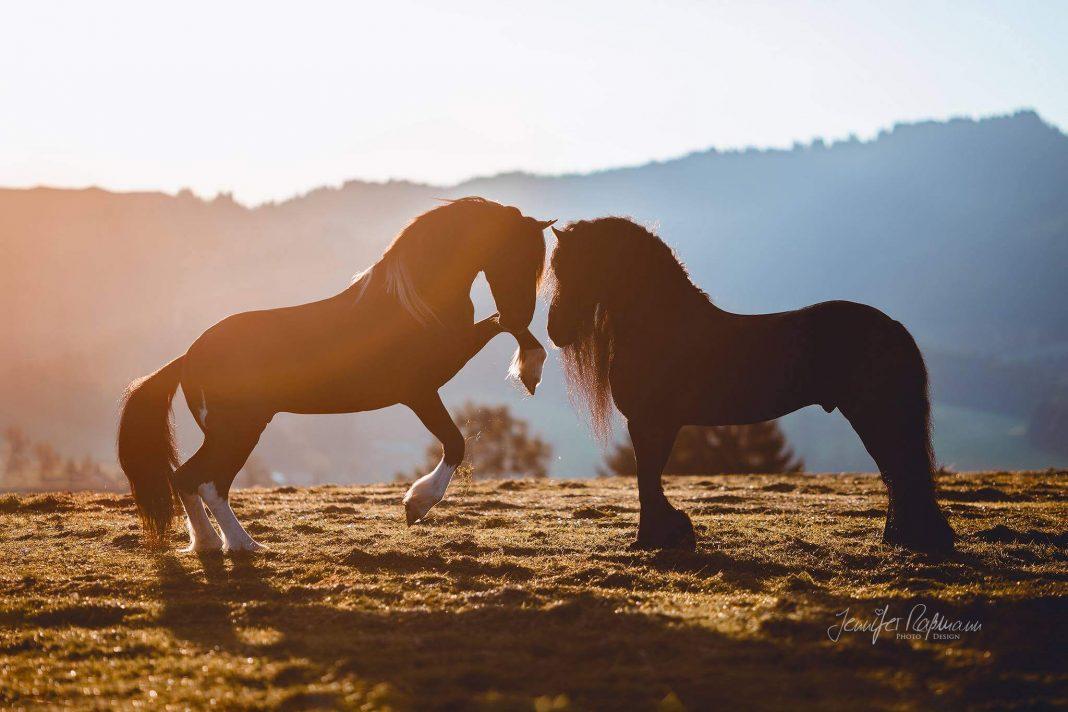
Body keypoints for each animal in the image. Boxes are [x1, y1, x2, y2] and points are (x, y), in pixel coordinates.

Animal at [118, 197, 555, 555]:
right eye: (516, 256)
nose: (523, 312)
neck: (411, 304)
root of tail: (188, 358)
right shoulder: (421, 389)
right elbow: (455, 442)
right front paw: (417, 503)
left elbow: (498, 326)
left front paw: (530, 370)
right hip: (238, 429)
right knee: (206, 481)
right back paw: (243, 544)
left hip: (229, 431)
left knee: (187, 479)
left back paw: (211, 544)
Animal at [546, 219, 956, 555]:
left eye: (582, 265)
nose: (555, 330)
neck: (664, 323)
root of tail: (893, 326)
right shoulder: (654, 424)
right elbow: (649, 476)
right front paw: (667, 533)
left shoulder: (652, 422)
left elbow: (647, 477)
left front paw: (655, 537)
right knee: (898, 470)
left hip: (872, 414)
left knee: (899, 467)